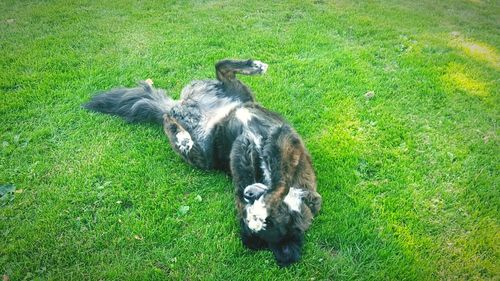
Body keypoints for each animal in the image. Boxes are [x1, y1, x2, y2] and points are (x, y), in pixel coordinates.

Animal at [84, 58, 322, 264]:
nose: (247, 194)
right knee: (220, 68)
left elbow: (269, 181)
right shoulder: (282, 143)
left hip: (204, 155)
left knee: (171, 119)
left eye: (269, 223)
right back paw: (253, 67)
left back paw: (183, 137)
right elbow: (280, 184)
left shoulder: (271, 147)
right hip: (238, 99)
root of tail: (181, 106)